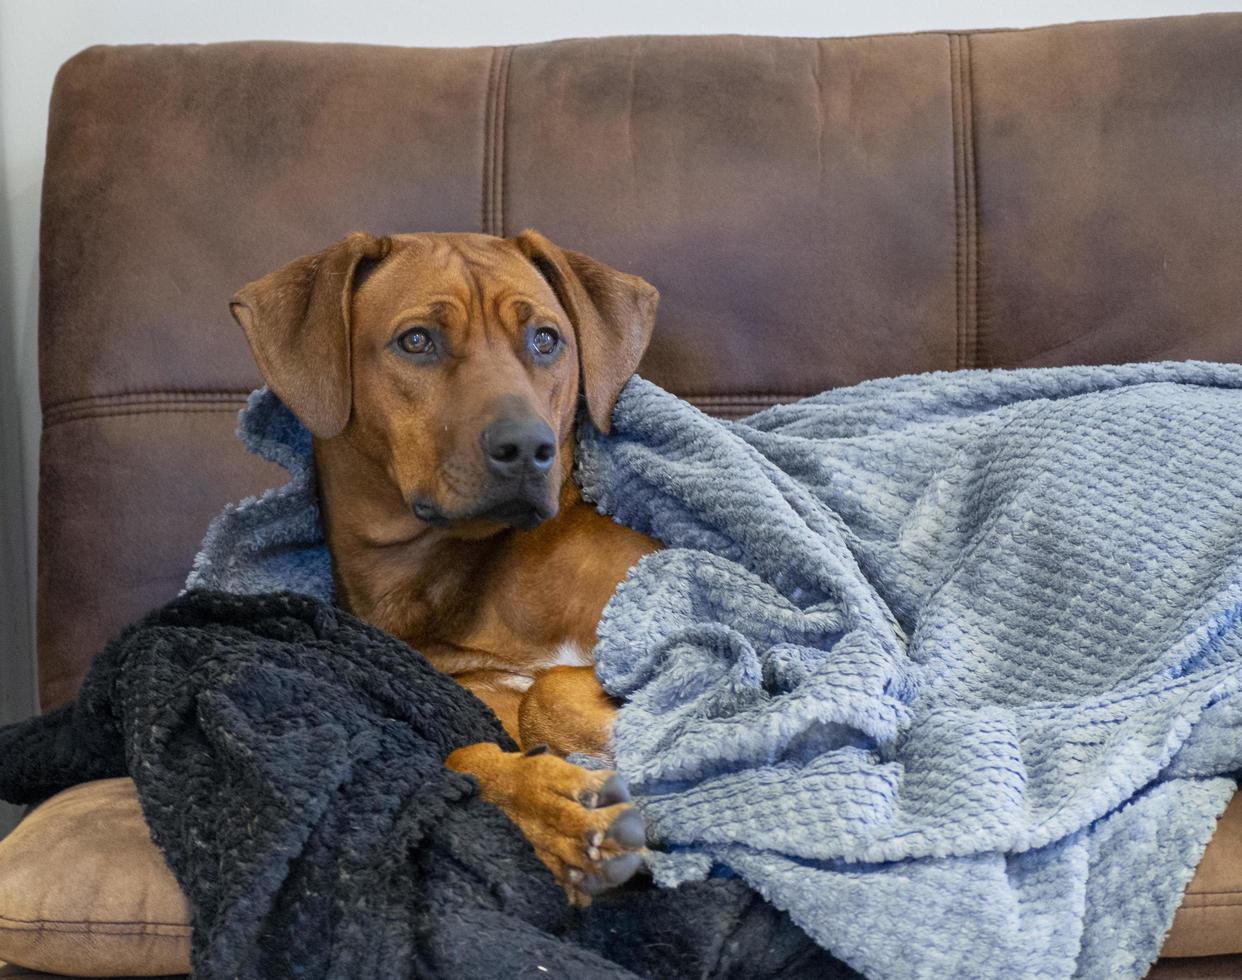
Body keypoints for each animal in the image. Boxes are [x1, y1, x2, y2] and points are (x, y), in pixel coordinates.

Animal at [229, 227, 665, 904]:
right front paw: (556, 810)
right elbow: (464, 754)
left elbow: (551, 688)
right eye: (417, 341)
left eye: (546, 339)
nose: (528, 447)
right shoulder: (465, 692)